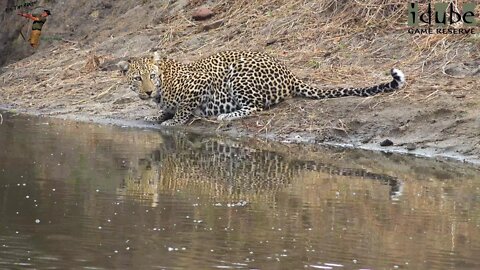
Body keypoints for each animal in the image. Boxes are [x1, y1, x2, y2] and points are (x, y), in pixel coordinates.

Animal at [117, 50, 404, 126]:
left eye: (152, 76)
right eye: (137, 79)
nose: (148, 92)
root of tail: (290, 74)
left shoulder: (199, 86)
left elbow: (185, 109)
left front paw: (173, 121)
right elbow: (164, 110)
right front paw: (156, 115)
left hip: (239, 77)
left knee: (255, 107)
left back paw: (226, 115)